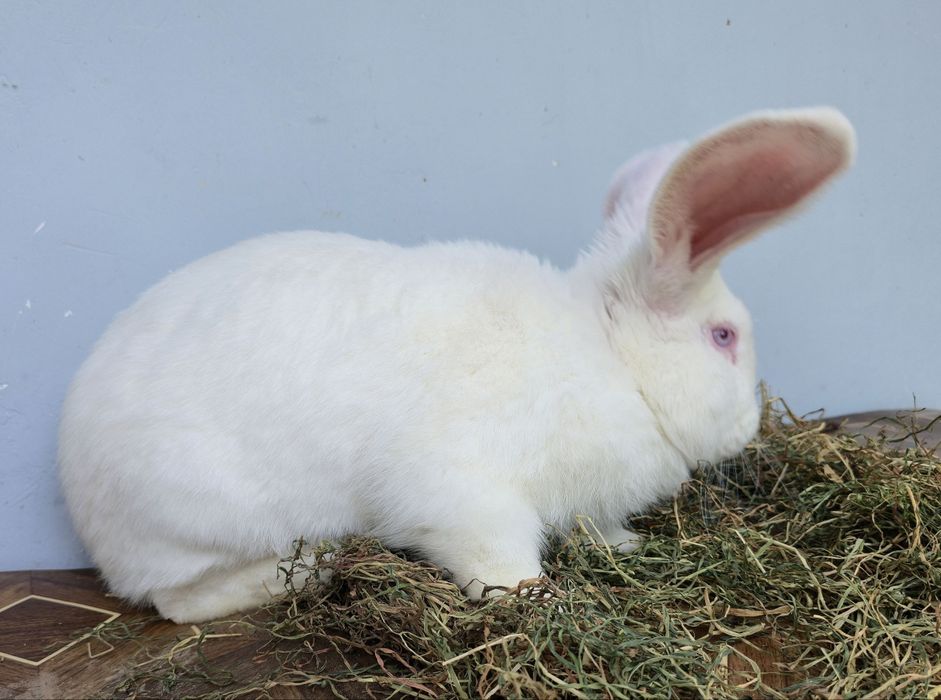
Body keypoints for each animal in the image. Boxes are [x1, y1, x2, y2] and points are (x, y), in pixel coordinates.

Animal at [58, 107, 855, 623]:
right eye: (723, 337)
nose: (750, 424)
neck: (606, 357)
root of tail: (86, 513)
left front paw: (626, 545)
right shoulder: (464, 493)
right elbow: (492, 554)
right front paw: (536, 597)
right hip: (205, 520)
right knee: (178, 602)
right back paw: (314, 568)